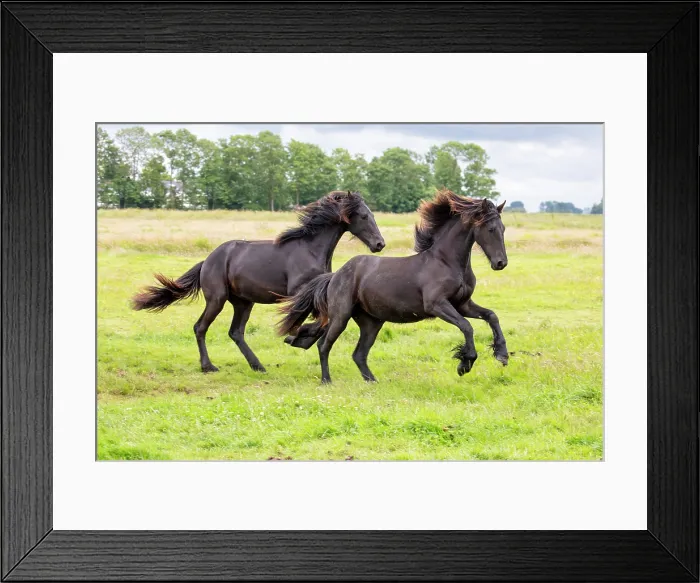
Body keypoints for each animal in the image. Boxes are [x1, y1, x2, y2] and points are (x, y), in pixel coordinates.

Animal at [131, 190, 385, 373]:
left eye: (372, 215)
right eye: (364, 216)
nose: (379, 244)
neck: (311, 250)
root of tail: (208, 260)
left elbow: (321, 321)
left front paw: (300, 338)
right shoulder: (299, 293)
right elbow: (311, 321)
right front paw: (296, 337)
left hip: (244, 302)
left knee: (236, 333)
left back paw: (258, 366)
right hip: (217, 299)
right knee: (200, 327)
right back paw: (209, 366)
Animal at [277, 189, 508, 383]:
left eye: (503, 229)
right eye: (490, 229)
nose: (500, 263)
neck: (447, 262)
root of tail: (335, 276)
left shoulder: (463, 304)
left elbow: (492, 316)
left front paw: (502, 355)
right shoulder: (437, 305)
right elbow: (467, 326)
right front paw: (465, 363)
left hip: (371, 323)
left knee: (358, 354)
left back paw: (373, 382)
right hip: (340, 316)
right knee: (324, 345)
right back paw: (327, 380)